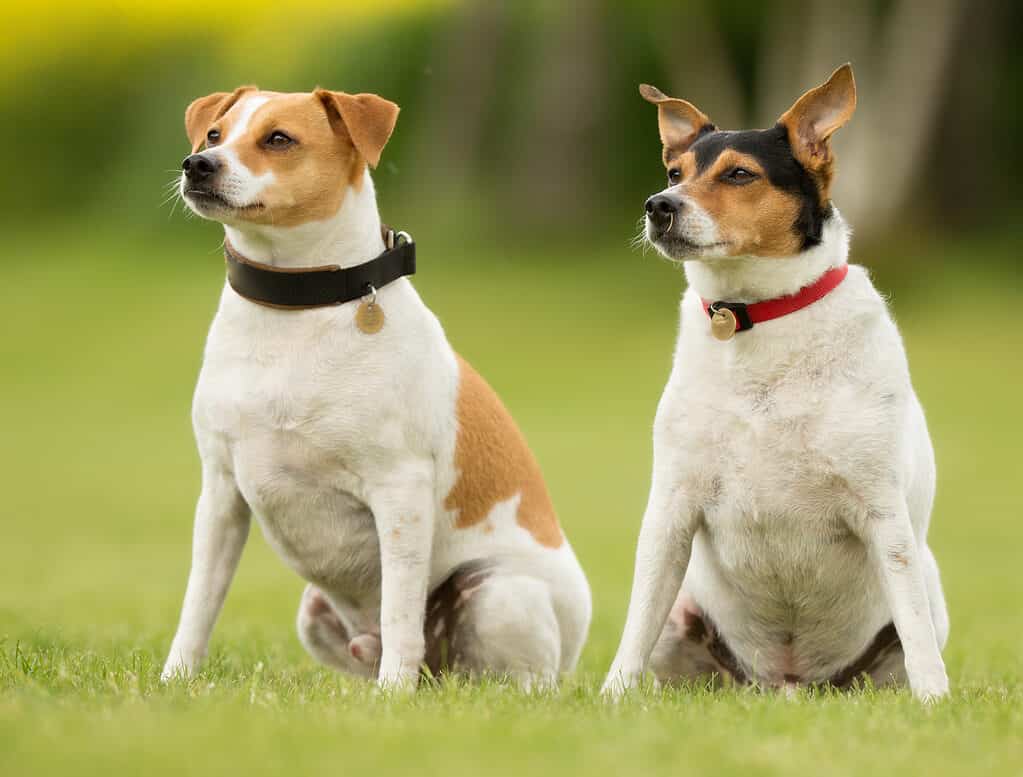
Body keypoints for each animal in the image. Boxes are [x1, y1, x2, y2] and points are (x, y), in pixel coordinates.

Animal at [159, 86, 593, 691]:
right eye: (215, 135)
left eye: (278, 138)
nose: (197, 164)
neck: (294, 311)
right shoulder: (222, 492)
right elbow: (199, 603)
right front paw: (175, 681)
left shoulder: (399, 491)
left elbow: (400, 613)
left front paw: (394, 695)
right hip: (313, 612)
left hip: (497, 593)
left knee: (516, 679)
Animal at [597, 63, 949, 699]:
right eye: (675, 173)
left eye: (740, 174)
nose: (658, 205)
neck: (755, 318)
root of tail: (787, 682)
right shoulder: (669, 512)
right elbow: (635, 626)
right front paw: (613, 697)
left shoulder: (885, 517)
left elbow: (914, 632)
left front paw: (936, 702)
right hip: (685, 621)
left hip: (927, 593)